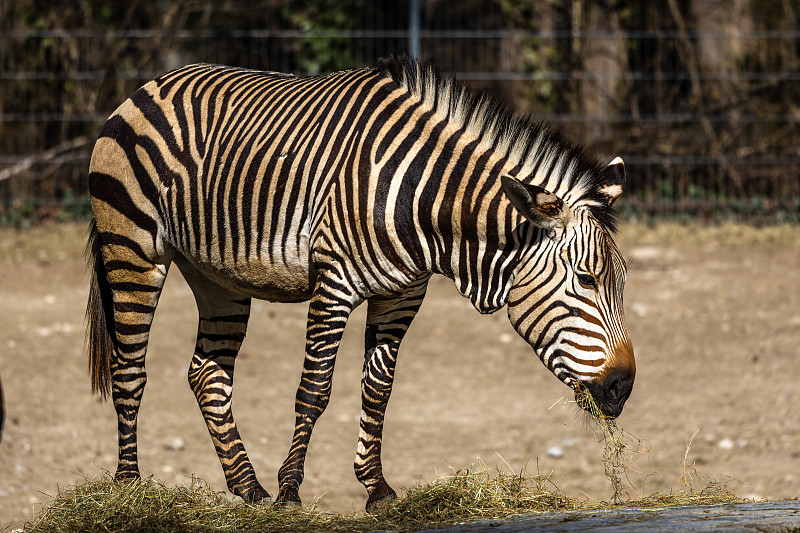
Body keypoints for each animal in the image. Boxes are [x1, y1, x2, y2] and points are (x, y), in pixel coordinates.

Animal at [86, 56, 636, 510]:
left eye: (621, 282)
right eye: (586, 279)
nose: (622, 388)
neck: (421, 201)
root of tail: (150, 85)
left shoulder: (403, 294)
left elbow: (378, 389)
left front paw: (376, 489)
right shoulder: (335, 284)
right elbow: (314, 389)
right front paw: (291, 492)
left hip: (217, 275)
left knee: (207, 373)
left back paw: (248, 488)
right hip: (132, 249)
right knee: (129, 368)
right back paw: (130, 489)